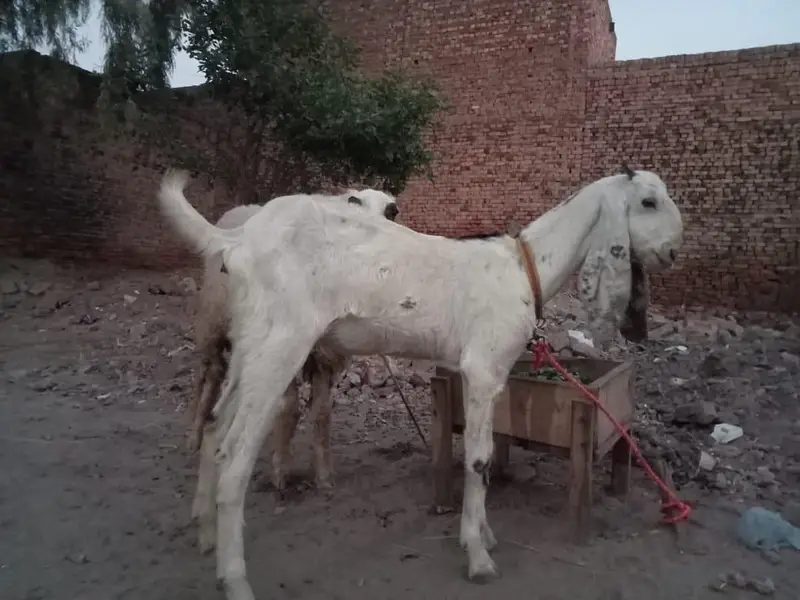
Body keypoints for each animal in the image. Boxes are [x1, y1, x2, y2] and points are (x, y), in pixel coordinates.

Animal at [158, 166, 683, 600]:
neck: (525, 266)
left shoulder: (488, 374)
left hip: (252, 343)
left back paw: (206, 536)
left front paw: (485, 535)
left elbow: (483, 453)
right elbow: (478, 460)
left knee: (215, 426)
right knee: (235, 454)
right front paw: (478, 556)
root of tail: (236, 239)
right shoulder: (483, 368)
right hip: (279, 343)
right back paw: (236, 580)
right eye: (648, 202)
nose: (674, 252)